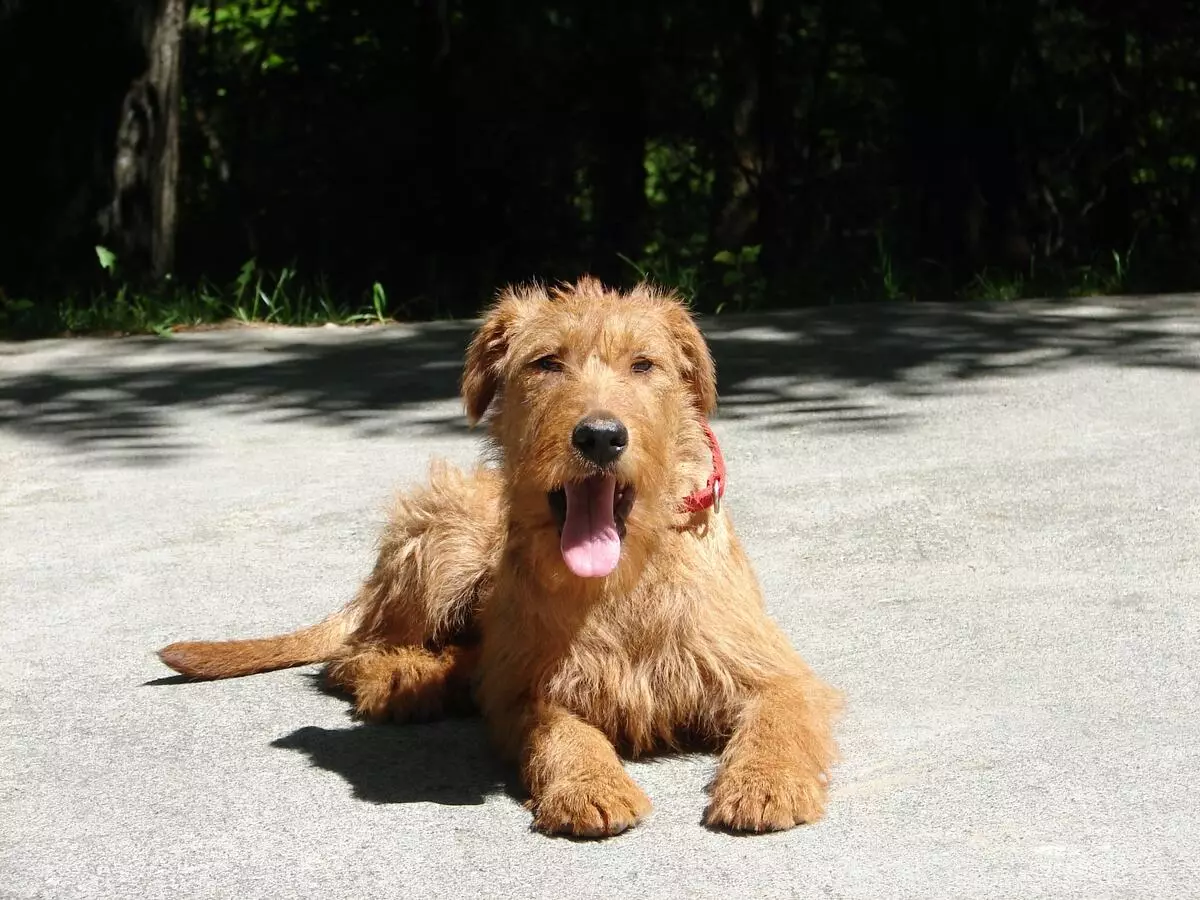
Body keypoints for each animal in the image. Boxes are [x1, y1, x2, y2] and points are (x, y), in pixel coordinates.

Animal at [154, 278, 840, 844]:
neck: (623, 580)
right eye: (547, 363)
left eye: (644, 365)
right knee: (356, 654)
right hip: (447, 546)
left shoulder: (774, 670)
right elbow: (562, 734)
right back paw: (403, 681)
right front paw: (590, 785)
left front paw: (767, 783)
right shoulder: (525, 693)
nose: (599, 436)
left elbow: (780, 717)